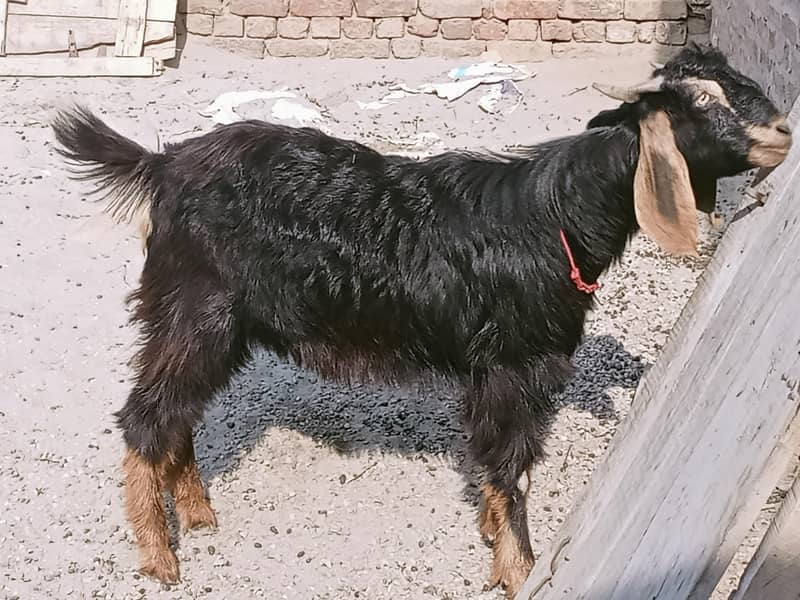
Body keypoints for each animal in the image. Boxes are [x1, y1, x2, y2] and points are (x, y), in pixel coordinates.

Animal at [50, 44, 791, 597]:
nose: (783, 132)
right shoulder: (514, 364)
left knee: (176, 414)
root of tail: (162, 165)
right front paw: (518, 569)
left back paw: (199, 516)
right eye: (702, 102)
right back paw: (159, 556)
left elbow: (496, 462)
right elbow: (512, 467)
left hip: (207, 325)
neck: (559, 217)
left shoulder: (501, 371)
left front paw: (491, 534)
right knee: (146, 416)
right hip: (195, 311)